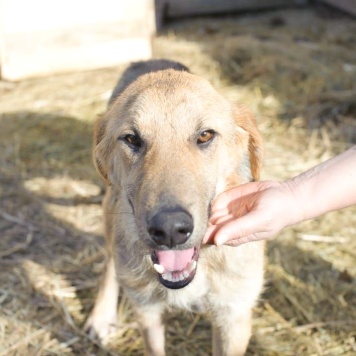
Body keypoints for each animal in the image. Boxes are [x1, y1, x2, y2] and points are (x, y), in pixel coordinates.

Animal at [85, 59, 266, 354]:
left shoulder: (233, 316)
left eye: (205, 135)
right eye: (132, 139)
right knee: (110, 261)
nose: (169, 229)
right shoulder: (147, 311)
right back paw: (101, 315)